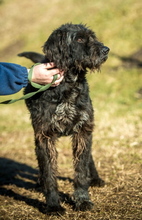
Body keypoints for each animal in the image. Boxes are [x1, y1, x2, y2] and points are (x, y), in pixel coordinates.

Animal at [18, 23, 109, 214]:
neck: (69, 85)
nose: (106, 50)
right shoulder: (44, 136)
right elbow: (49, 174)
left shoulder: (83, 131)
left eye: (92, 37)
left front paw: (82, 200)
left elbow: (81, 170)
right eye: (80, 39)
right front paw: (53, 205)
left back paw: (95, 178)